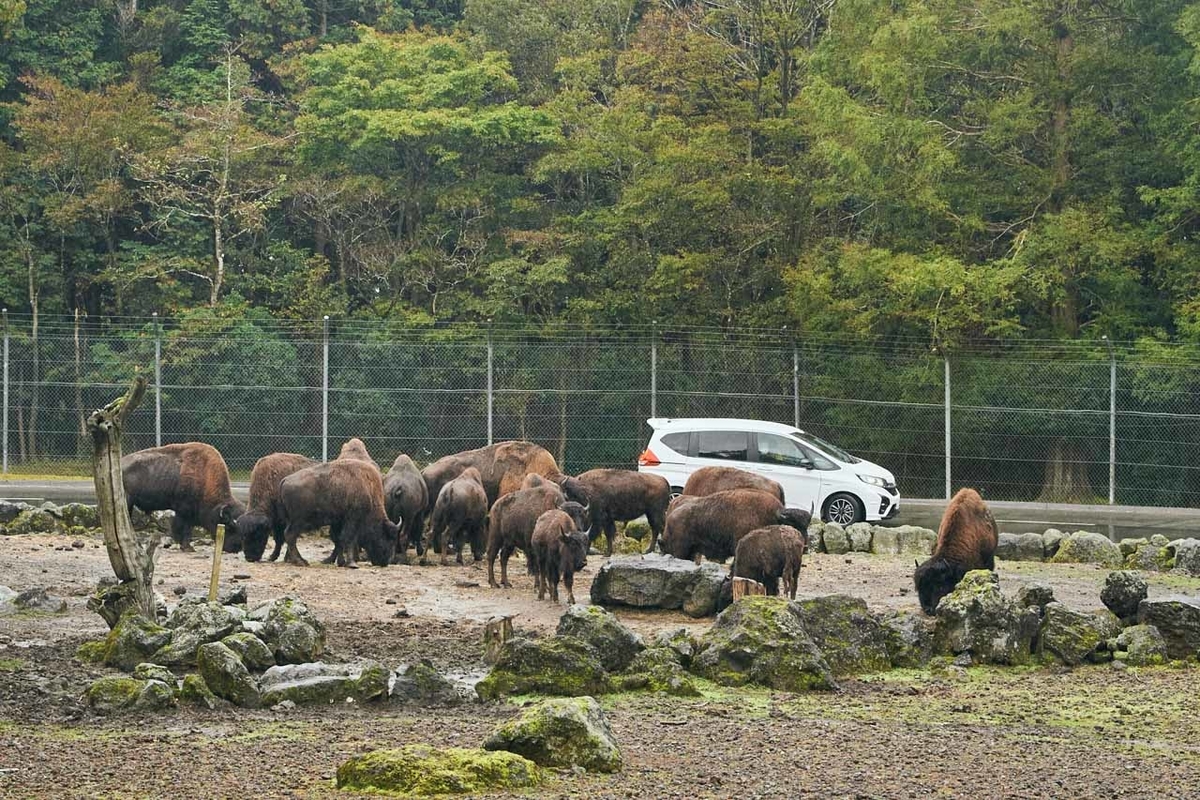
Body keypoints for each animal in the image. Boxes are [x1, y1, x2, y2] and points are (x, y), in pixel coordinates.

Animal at [657, 489, 816, 563]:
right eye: (793, 526)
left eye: (806, 526)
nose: (804, 548)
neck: (773, 516)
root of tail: (671, 515)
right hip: (681, 550)